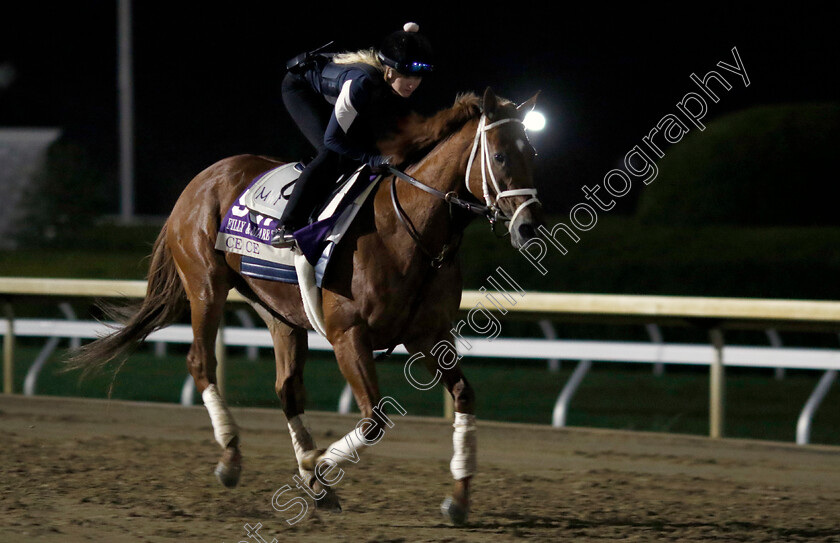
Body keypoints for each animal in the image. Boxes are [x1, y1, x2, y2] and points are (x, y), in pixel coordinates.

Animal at [70, 87, 544, 524]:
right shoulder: (348, 335)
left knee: (287, 389)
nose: (529, 225)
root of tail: (201, 179)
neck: (409, 230)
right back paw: (232, 456)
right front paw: (315, 464)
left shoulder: (429, 335)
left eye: (533, 153)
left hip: (280, 312)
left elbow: (464, 396)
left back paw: (309, 480)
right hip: (205, 286)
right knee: (201, 361)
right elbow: (374, 421)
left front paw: (458, 500)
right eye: (500, 156)